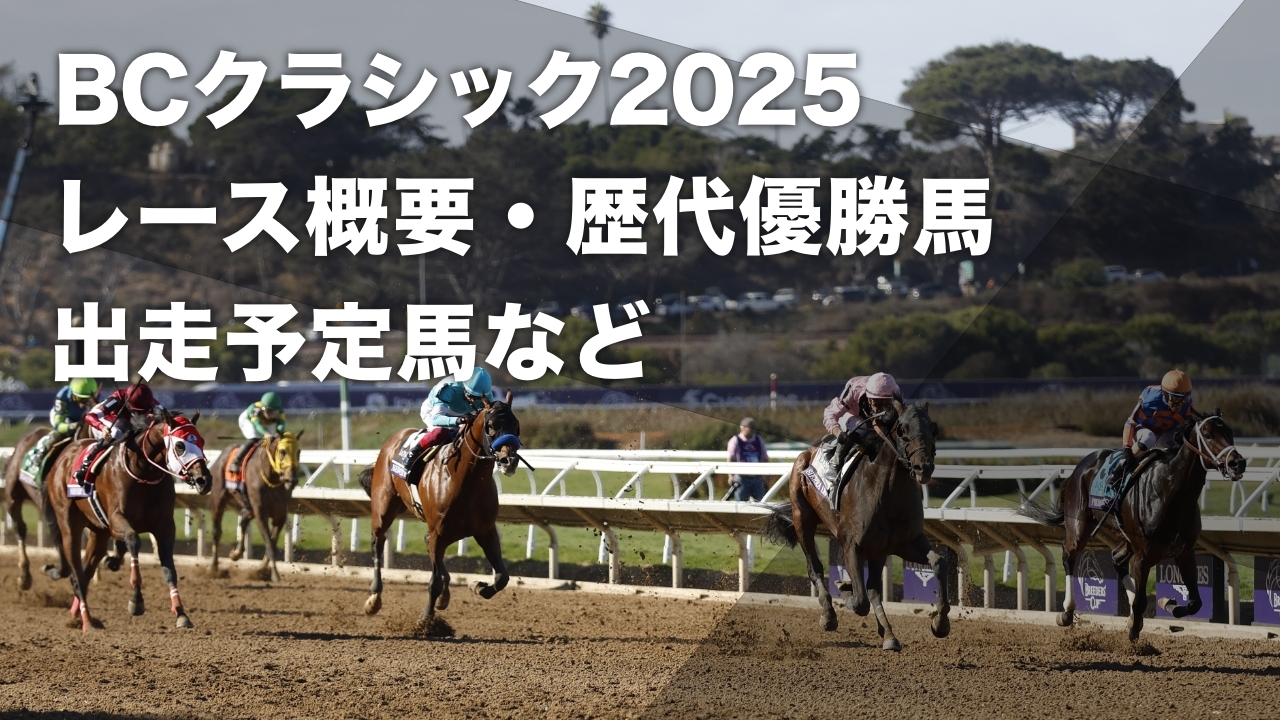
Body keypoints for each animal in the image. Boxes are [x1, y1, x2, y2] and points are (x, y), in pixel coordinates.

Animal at [43, 408, 213, 632]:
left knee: (86, 572)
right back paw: (87, 622)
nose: (204, 480)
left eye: (201, 441)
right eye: (180, 445)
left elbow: (169, 569)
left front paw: (181, 613)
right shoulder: (117, 520)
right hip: (69, 524)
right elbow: (133, 540)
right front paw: (136, 601)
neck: (144, 473)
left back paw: (79, 616)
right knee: (77, 575)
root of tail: (63, 456)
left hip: (99, 532)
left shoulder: (165, 526)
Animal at [207, 431, 303, 582]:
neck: (272, 479)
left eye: (298, 452)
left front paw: (262, 570)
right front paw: (274, 574)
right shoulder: (261, 514)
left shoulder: (280, 515)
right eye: (282, 451)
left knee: (244, 520)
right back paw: (213, 568)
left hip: (248, 506)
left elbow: (272, 543)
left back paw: (236, 553)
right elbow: (269, 543)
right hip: (218, 501)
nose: (292, 480)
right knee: (216, 532)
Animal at [358, 391, 523, 622]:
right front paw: (426, 617)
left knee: (428, 544)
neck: (465, 481)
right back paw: (374, 598)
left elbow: (502, 577)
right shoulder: (439, 531)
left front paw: (478, 586)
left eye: (516, 426)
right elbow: (433, 582)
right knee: (377, 542)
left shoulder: (485, 530)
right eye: (490, 425)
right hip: (384, 507)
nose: (509, 461)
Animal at [763, 402, 949, 651]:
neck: (888, 494)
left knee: (873, 588)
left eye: (933, 429)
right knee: (815, 568)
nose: (923, 467)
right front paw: (844, 589)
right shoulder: (851, 545)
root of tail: (807, 452)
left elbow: (939, 563)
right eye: (901, 430)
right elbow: (859, 601)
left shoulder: (908, 543)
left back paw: (888, 634)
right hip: (803, 519)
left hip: (879, 550)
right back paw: (829, 615)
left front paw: (940, 623)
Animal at [1020, 410, 1245, 641]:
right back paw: (1066, 612)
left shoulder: (1184, 552)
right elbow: (1140, 602)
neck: (1169, 494)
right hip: (1079, 527)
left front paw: (1166, 603)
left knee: (1116, 558)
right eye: (1207, 435)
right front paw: (1134, 633)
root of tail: (1079, 467)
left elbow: (1195, 603)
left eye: (1230, 432)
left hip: (1127, 538)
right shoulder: (1143, 556)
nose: (1237, 463)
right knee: (1069, 553)